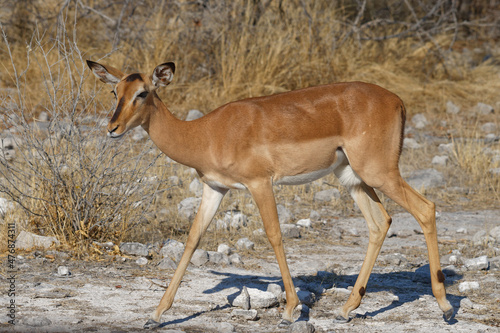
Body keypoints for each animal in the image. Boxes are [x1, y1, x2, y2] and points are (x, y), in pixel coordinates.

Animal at [88, 59, 456, 326]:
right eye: (115, 91)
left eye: (143, 92)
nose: (112, 128)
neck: (205, 133)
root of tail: (397, 101)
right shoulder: (214, 188)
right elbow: (192, 239)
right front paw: (156, 314)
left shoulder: (259, 183)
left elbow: (275, 235)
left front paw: (290, 311)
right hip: (353, 177)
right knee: (380, 223)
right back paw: (346, 309)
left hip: (379, 173)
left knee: (425, 208)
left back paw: (446, 307)